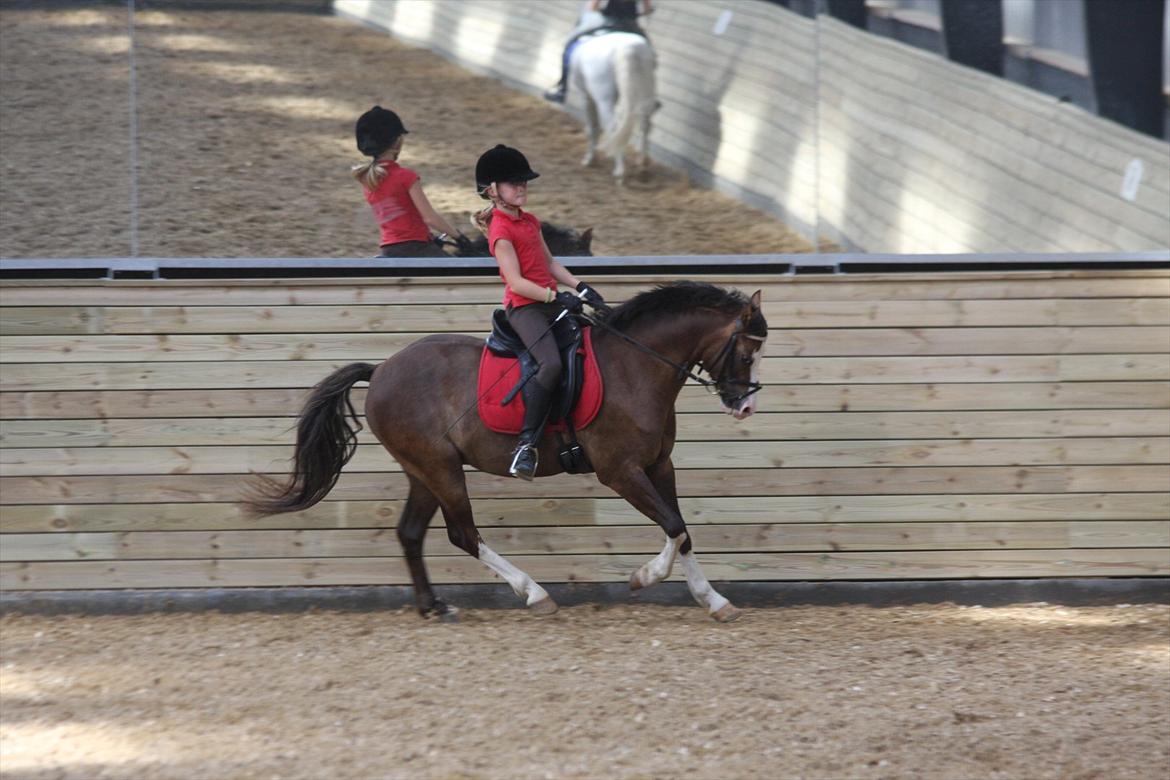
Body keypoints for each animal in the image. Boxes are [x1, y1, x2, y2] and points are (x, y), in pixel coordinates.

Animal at [244, 280, 767, 622]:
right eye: (745, 354)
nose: (744, 406)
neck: (635, 365)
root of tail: (381, 370)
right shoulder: (620, 470)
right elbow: (674, 526)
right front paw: (644, 577)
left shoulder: (660, 465)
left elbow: (682, 531)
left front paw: (713, 600)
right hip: (440, 468)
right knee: (463, 535)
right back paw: (533, 593)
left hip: (424, 470)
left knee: (410, 532)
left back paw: (432, 606)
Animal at [568, 30, 659, 184]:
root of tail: (630, 47)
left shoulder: (586, 97)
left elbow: (592, 128)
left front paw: (589, 159)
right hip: (646, 93)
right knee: (644, 124)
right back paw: (642, 165)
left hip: (603, 99)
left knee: (612, 127)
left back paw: (619, 172)